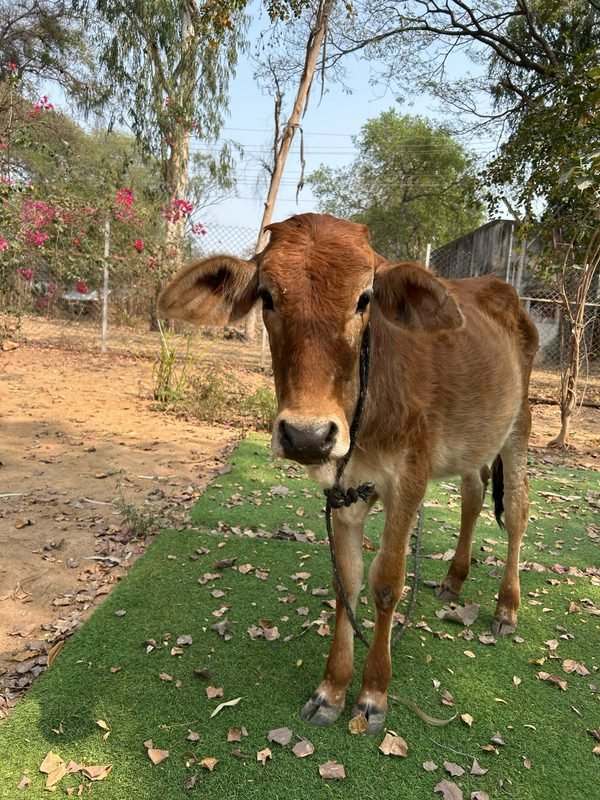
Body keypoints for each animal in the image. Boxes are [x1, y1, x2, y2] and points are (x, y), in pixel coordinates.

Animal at [158, 213, 539, 733]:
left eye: (364, 298)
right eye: (267, 296)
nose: (307, 435)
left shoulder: (409, 480)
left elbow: (386, 583)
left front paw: (373, 693)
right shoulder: (342, 487)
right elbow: (347, 581)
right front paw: (332, 690)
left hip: (518, 425)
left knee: (516, 511)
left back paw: (506, 607)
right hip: (474, 440)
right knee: (474, 494)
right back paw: (454, 579)